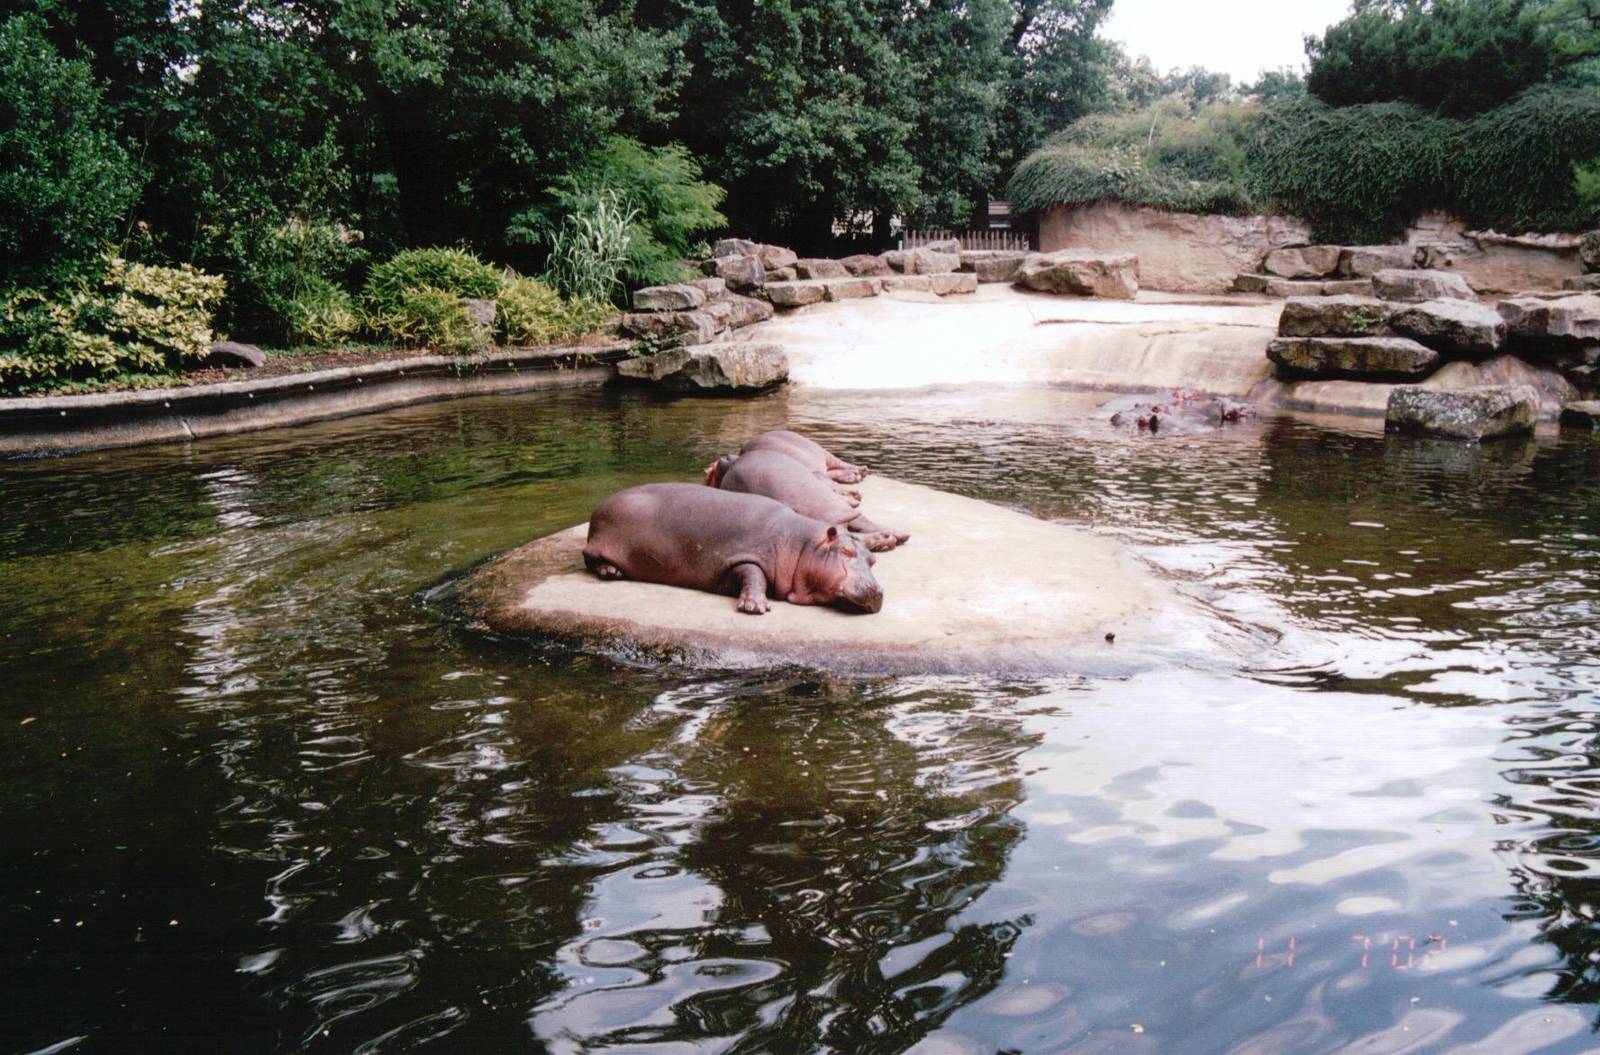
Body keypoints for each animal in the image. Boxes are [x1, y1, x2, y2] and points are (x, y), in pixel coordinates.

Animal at [583, 483, 883, 614]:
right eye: (845, 551)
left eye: (873, 559)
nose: (877, 590)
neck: (803, 545)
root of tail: (599, 506)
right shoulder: (741, 556)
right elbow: (753, 574)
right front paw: (755, 606)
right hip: (598, 544)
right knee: (590, 559)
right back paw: (611, 572)